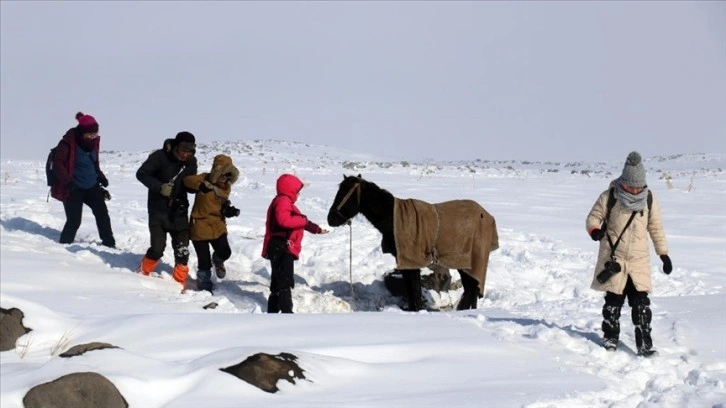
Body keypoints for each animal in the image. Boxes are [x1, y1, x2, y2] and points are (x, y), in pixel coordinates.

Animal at [326, 174, 500, 310]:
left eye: (344, 194)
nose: (330, 219)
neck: (393, 218)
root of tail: (488, 216)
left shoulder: (411, 263)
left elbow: (414, 291)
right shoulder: (406, 263)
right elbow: (412, 291)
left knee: (471, 290)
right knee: (471, 291)